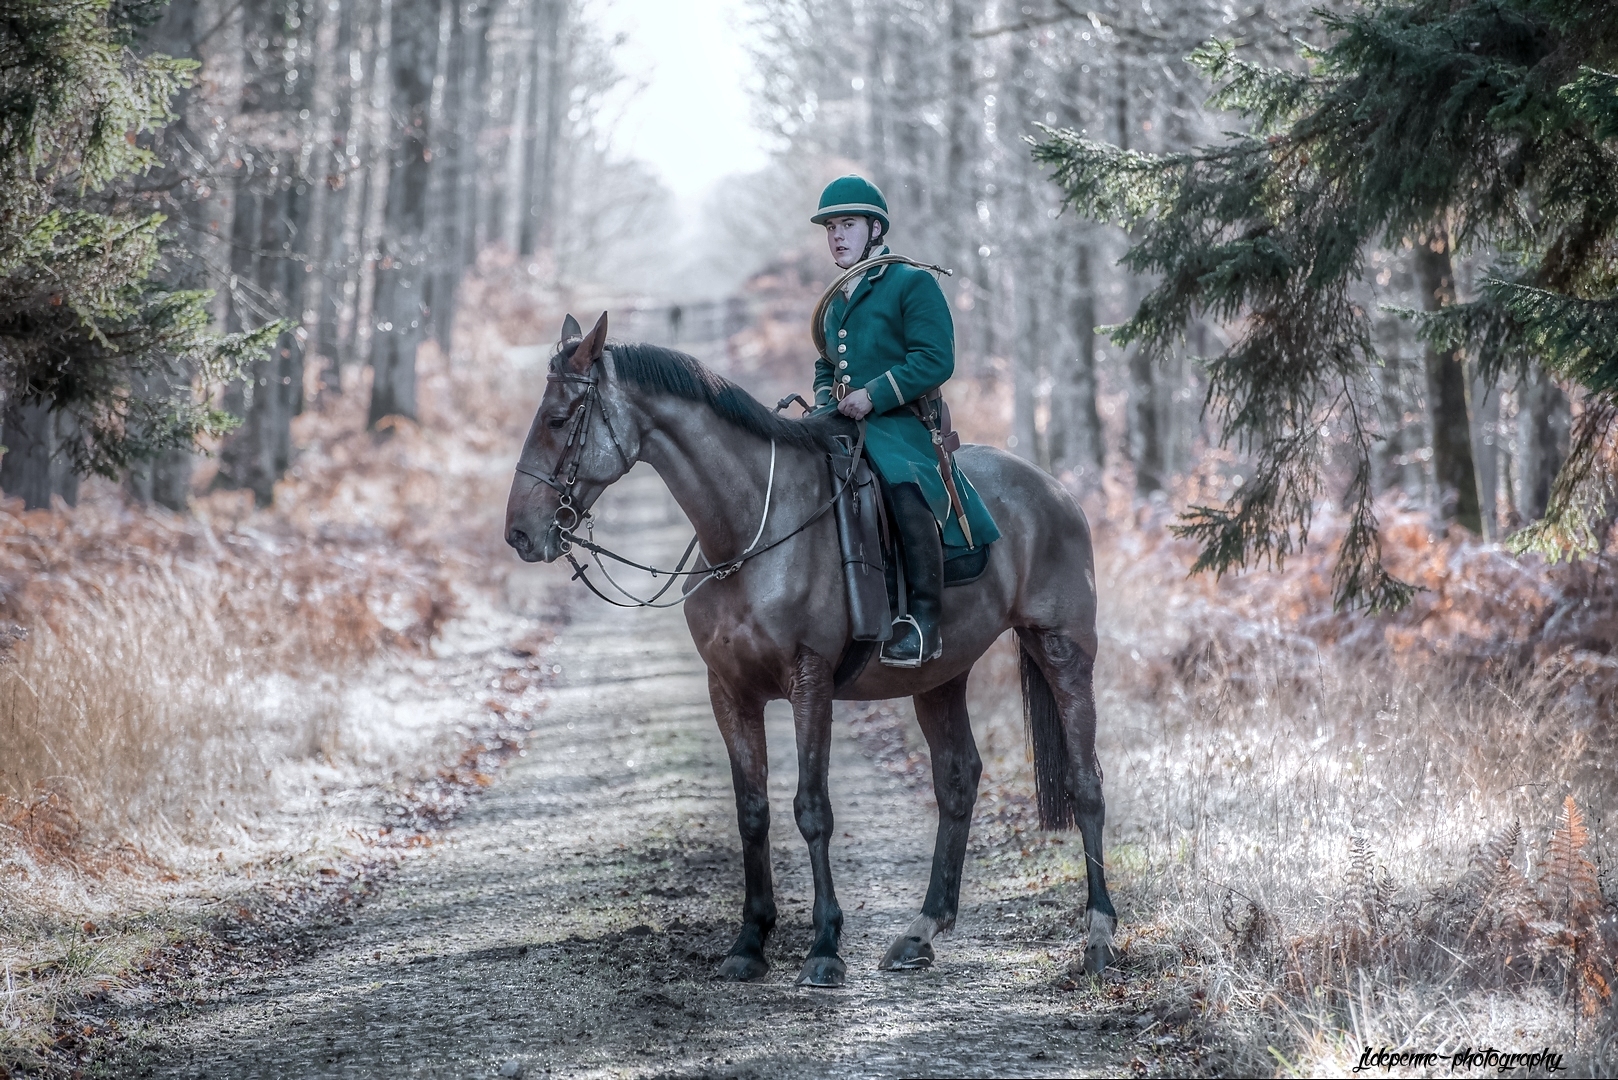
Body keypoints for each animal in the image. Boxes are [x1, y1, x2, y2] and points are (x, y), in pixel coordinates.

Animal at [501, 314, 1113, 990]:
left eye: (559, 419)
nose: (520, 534)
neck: (747, 531)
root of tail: (1055, 489)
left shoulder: (809, 680)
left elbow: (811, 807)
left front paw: (824, 946)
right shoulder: (729, 691)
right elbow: (753, 811)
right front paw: (750, 940)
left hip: (1063, 651)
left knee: (1085, 781)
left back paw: (1098, 937)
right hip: (939, 677)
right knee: (957, 780)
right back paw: (921, 932)